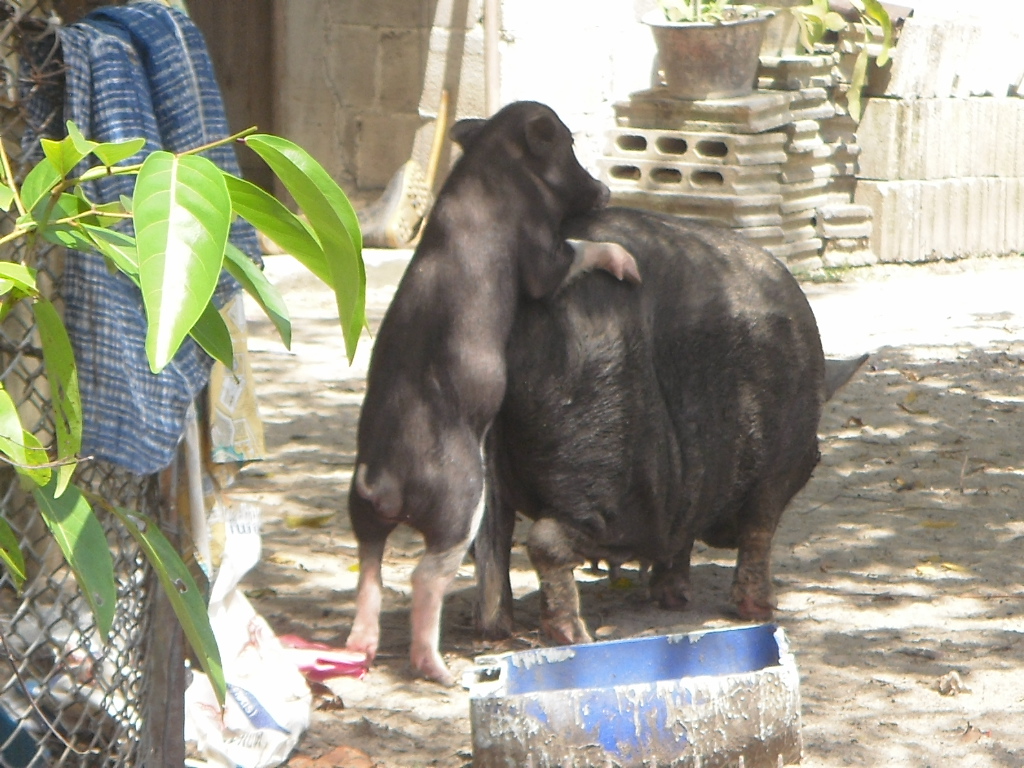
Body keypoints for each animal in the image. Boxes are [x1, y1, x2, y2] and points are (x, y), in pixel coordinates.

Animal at [475, 207, 860, 647]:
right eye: (817, 459)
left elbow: (681, 538)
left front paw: (674, 600)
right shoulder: (776, 471)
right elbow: (759, 532)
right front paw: (761, 611)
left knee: (494, 543)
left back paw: (496, 630)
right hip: (594, 458)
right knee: (544, 540)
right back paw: (573, 635)